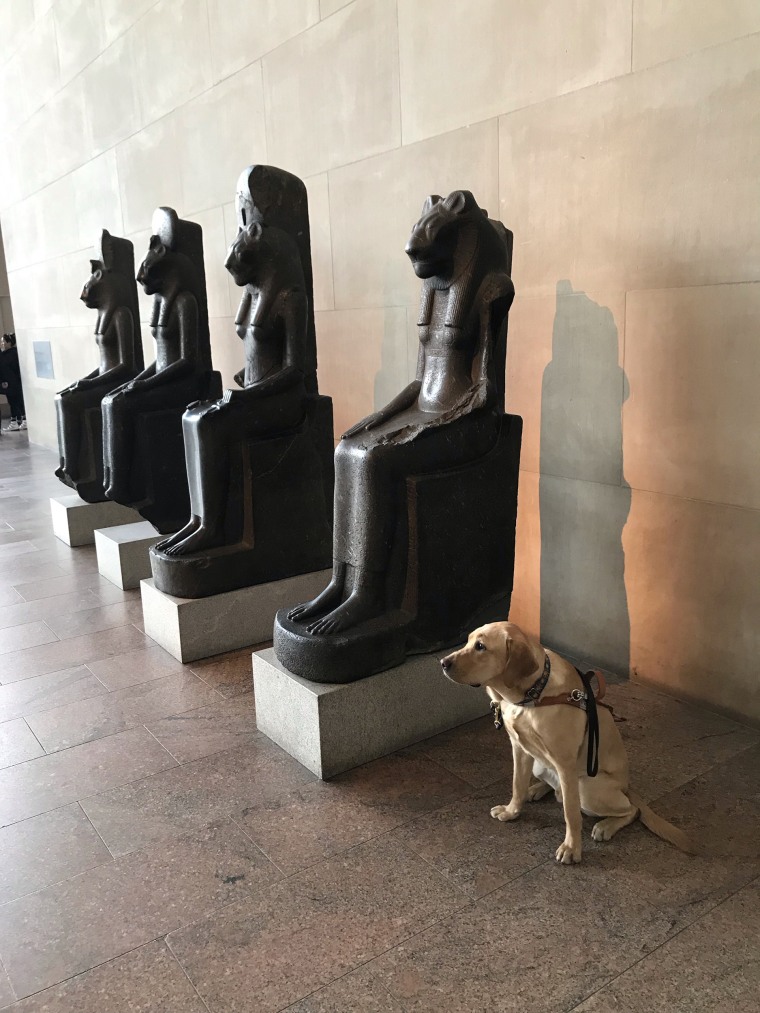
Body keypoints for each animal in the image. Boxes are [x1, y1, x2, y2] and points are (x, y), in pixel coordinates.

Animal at [439, 615, 697, 863]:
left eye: (480, 646)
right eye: (468, 641)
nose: (442, 663)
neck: (533, 694)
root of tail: (627, 786)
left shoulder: (565, 764)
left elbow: (571, 814)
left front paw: (572, 849)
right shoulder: (519, 748)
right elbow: (517, 784)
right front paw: (512, 810)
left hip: (587, 787)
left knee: (632, 810)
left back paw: (605, 826)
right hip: (540, 765)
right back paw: (538, 789)